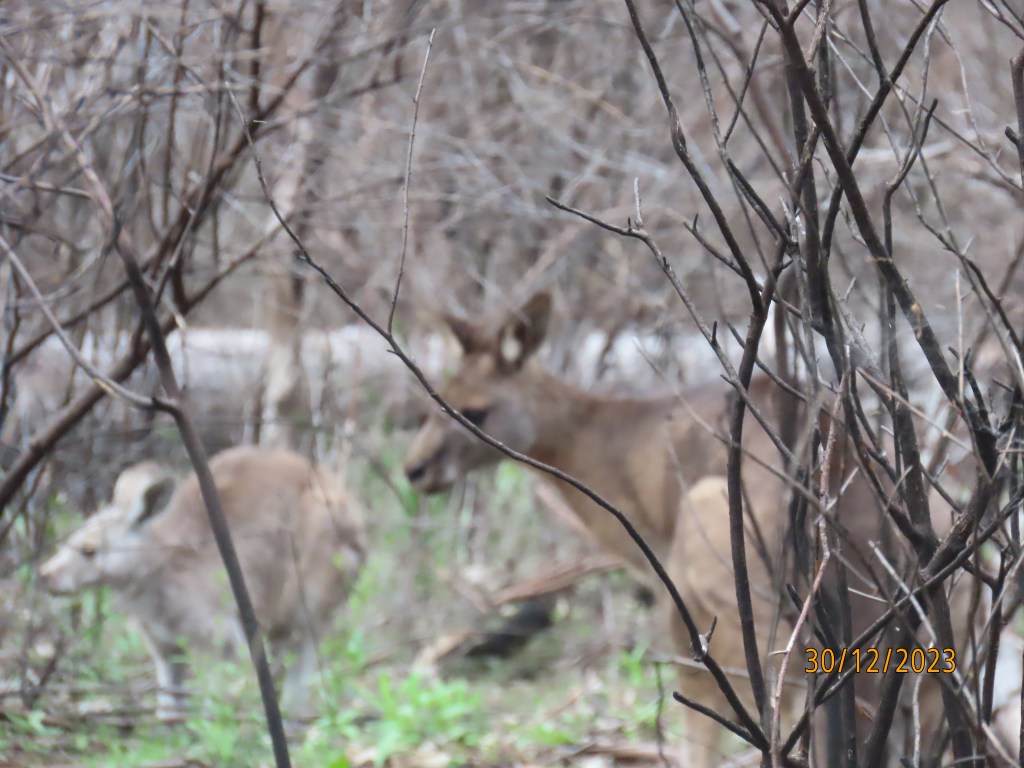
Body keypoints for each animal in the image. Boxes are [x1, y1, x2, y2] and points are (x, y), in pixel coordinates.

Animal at [39, 445, 366, 723]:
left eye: (89, 551)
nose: (45, 576)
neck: (158, 571)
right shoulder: (163, 643)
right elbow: (171, 688)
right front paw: (171, 724)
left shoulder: (221, 631)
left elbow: (226, 679)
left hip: (312, 581)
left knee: (303, 649)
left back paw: (286, 717)